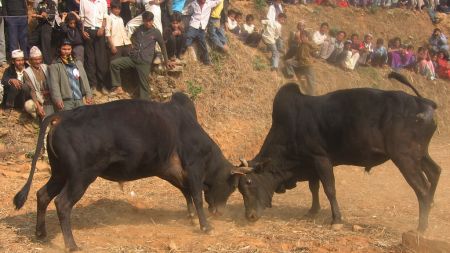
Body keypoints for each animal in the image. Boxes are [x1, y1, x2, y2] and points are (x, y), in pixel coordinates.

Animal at [13, 93, 250, 251]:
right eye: (232, 187)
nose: (219, 212)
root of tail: (63, 115)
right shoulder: (193, 167)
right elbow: (197, 196)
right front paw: (206, 226)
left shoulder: (170, 170)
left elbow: (187, 193)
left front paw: (191, 217)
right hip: (80, 177)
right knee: (62, 203)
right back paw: (72, 245)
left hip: (60, 174)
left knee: (42, 195)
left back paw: (41, 233)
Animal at [237, 72, 442, 232]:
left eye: (250, 182)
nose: (250, 216)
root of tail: (423, 102)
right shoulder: (311, 164)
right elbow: (314, 188)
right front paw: (312, 211)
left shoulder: (320, 159)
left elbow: (329, 189)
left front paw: (336, 220)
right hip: (420, 154)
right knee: (435, 172)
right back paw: (431, 206)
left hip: (404, 157)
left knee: (422, 188)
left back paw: (421, 228)